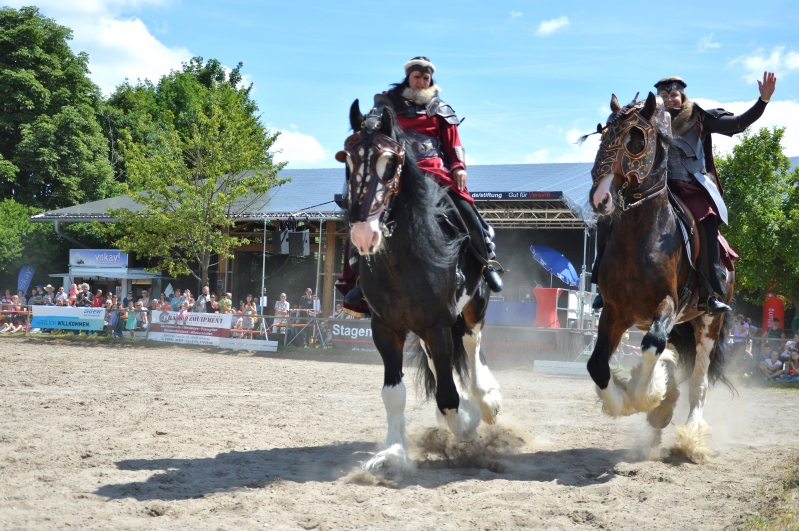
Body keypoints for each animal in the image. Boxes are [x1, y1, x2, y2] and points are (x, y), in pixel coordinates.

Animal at [336, 102, 500, 476]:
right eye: (347, 161)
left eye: (390, 162)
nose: (364, 233)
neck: (403, 258)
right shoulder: (385, 327)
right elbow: (394, 394)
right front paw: (392, 454)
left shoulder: (438, 323)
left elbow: (449, 396)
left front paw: (468, 419)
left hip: (473, 305)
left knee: (472, 343)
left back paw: (485, 399)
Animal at [584, 93, 736, 464]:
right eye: (602, 136)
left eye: (636, 141)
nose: (600, 197)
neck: (641, 232)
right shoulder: (615, 313)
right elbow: (597, 366)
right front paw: (627, 402)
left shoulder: (666, 305)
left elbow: (653, 346)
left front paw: (646, 399)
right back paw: (656, 431)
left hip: (707, 323)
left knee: (698, 384)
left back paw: (689, 439)